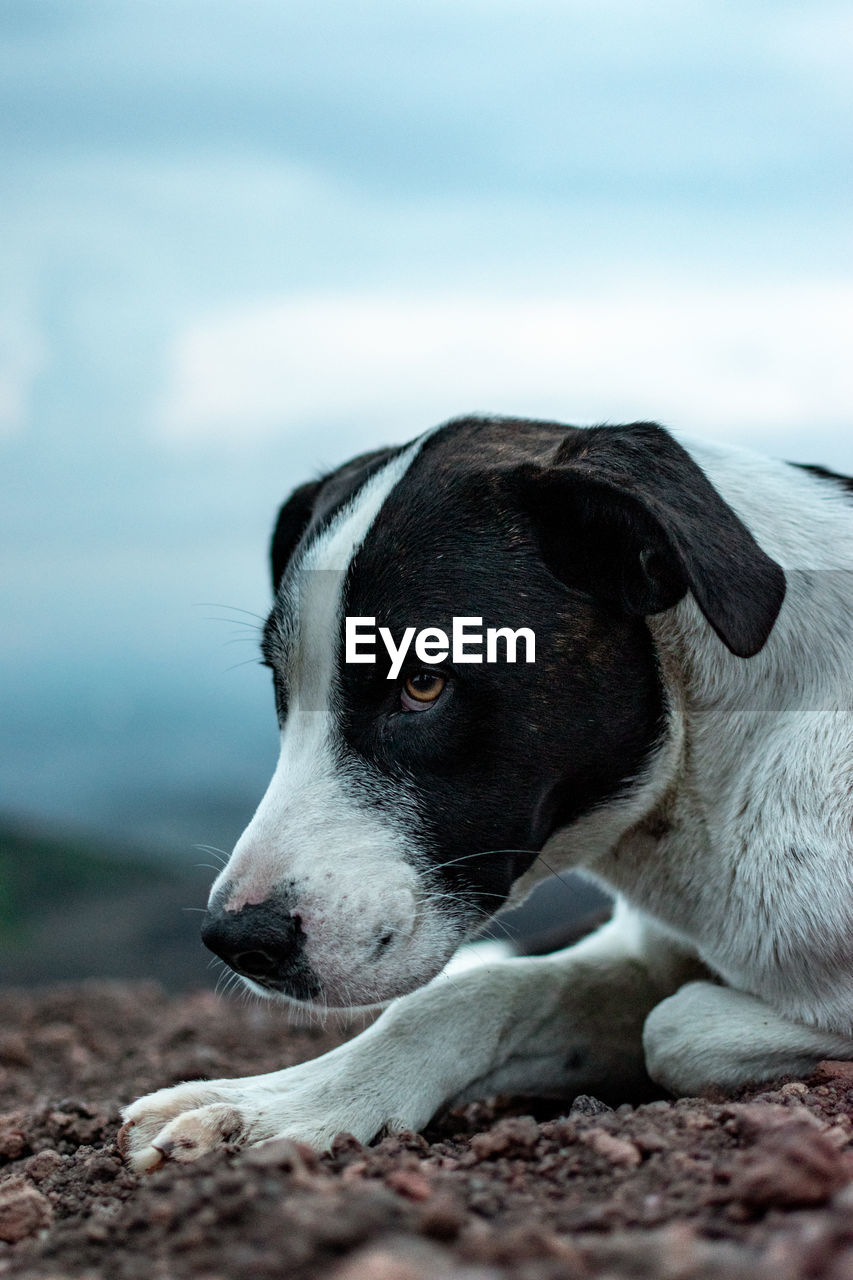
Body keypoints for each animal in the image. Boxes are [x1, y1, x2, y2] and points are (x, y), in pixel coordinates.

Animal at [119, 417, 850, 1172]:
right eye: (280, 684)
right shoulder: (642, 955)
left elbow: (676, 1024)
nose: (238, 941)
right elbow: (462, 998)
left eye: (422, 683)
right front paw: (277, 1104)